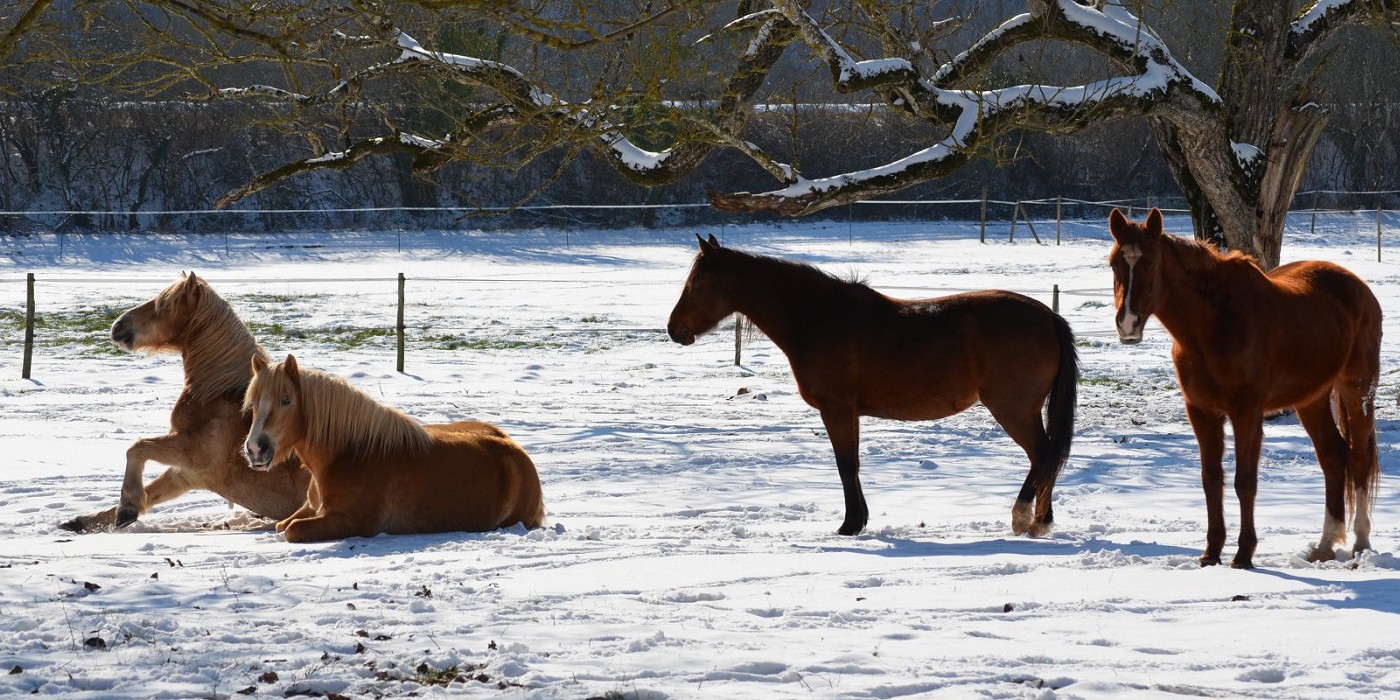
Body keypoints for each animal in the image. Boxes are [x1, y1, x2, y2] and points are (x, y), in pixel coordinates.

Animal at [59, 271, 309, 529]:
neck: (217, 395)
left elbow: (136, 449)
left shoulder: (192, 454)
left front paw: (127, 509)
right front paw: (86, 521)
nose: (117, 326)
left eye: (163, 305)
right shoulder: (184, 474)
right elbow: (149, 492)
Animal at [243, 352, 543, 543]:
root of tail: (516, 450)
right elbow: (282, 524)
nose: (256, 448)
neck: (347, 454)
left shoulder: (351, 522)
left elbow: (291, 530)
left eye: (286, 400)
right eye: (254, 402)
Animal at [666, 235, 1080, 534]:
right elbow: (853, 463)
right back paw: (1036, 520)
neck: (817, 318)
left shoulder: (836, 409)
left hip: (1013, 409)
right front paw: (858, 520)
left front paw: (850, 525)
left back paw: (1028, 519)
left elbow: (845, 464)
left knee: (1043, 455)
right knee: (1044, 458)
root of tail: (1048, 316)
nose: (673, 329)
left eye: (698, 281)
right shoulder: (849, 412)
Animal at [1108, 207, 1383, 568]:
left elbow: (1245, 481)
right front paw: (1211, 552)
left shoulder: (1247, 412)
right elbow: (1211, 479)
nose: (1127, 324)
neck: (1215, 324)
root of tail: (1359, 288)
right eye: (1113, 263)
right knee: (1333, 455)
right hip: (1311, 399)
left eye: (1151, 263)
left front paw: (1243, 553)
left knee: (1359, 457)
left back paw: (1361, 544)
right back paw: (1324, 545)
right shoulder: (1201, 411)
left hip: (1357, 388)